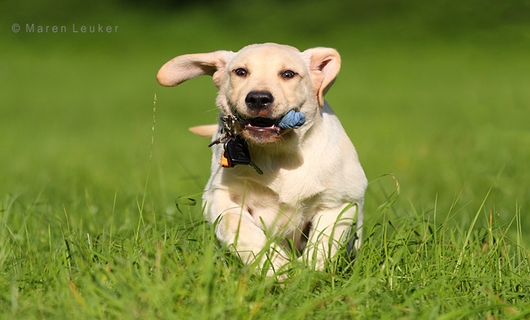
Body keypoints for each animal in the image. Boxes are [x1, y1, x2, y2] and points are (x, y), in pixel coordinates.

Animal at [155, 42, 366, 274]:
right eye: (240, 72)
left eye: (288, 74)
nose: (258, 98)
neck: (278, 153)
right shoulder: (219, 195)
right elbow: (240, 229)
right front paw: (278, 268)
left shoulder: (339, 201)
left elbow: (323, 242)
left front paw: (307, 273)